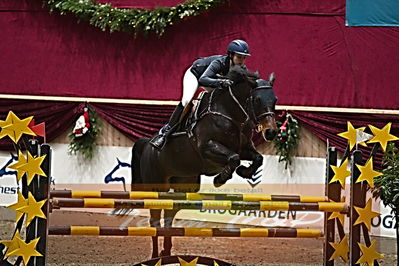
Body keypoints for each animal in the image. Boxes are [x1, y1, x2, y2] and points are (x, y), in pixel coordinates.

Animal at [131, 65, 278, 258]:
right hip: (156, 186)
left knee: (169, 213)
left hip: (184, 185)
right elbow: (233, 158)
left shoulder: (244, 149)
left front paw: (243, 172)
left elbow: (257, 158)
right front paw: (220, 178)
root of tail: (148, 143)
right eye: (258, 99)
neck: (230, 114)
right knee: (154, 219)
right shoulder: (208, 148)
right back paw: (156, 255)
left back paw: (166, 252)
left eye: (275, 99)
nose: (271, 132)